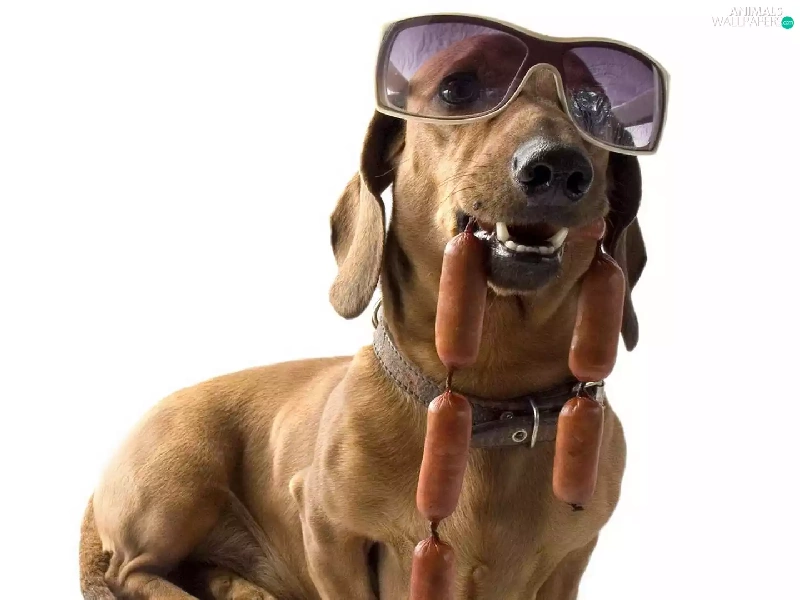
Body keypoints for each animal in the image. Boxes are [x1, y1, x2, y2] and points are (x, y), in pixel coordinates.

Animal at [79, 30, 647, 600]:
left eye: (594, 108)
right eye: (458, 89)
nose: (558, 167)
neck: (488, 400)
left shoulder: (571, 559)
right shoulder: (329, 531)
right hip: (184, 473)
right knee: (129, 571)